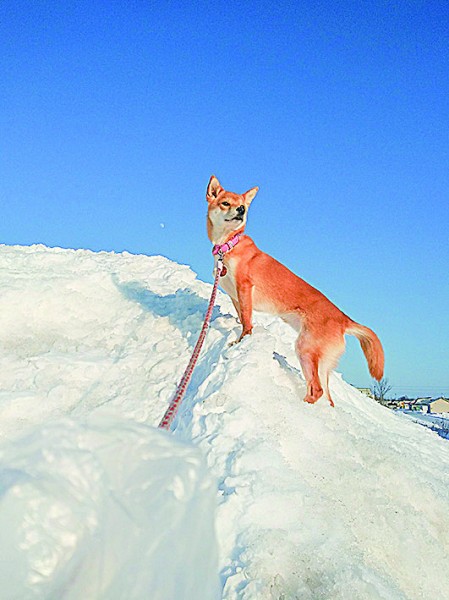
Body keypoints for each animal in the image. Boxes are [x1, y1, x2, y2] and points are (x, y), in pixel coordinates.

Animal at [205, 176, 384, 406]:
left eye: (243, 205)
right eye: (226, 203)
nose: (241, 210)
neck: (229, 245)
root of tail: (344, 320)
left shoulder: (244, 288)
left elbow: (247, 321)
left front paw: (241, 340)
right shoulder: (235, 295)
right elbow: (242, 316)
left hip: (305, 349)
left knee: (316, 390)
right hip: (321, 363)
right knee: (327, 397)